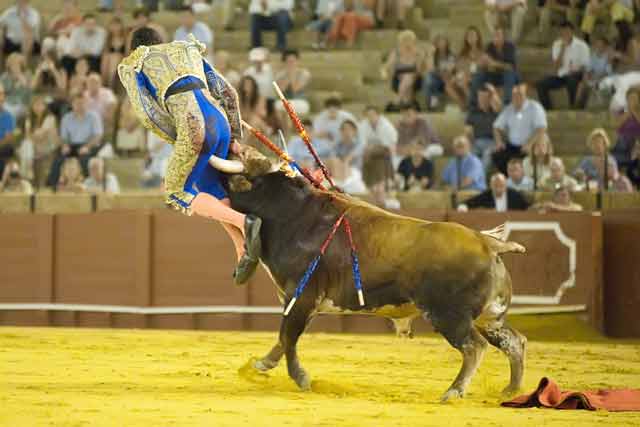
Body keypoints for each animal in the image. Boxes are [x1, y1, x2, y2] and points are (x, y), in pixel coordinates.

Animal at [222, 150, 528, 402]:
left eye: (251, 180)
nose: (224, 183)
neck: (294, 214)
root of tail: (489, 243)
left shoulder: (302, 296)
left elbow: (288, 337)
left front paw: (300, 377)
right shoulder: (297, 301)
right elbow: (284, 339)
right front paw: (257, 366)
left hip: (449, 315)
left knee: (474, 346)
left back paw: (453, 391)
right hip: (490, 317)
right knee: (514, 342)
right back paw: (510, 390)